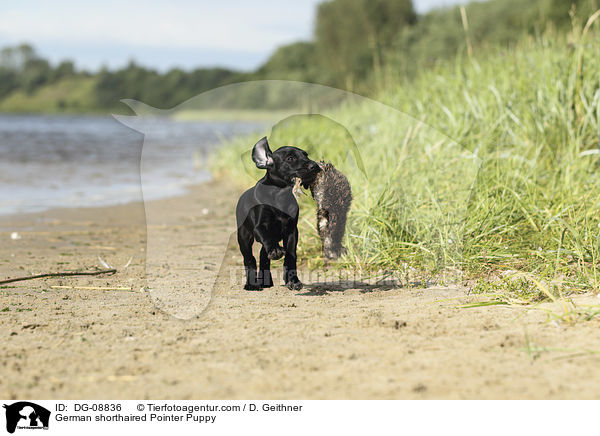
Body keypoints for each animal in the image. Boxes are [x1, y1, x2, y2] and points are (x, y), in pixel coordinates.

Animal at [234, 138, 322, 292]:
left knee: (263, 255)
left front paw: (293, 281)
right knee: (249, 259)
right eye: (290, 158)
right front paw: (275, 250)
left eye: (306, 155)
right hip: (244, 237)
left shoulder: (292, 231)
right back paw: (252, 284)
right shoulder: (260, 227)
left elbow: (291, 257)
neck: (279, 195)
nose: (315, 166)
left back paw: (266, 281)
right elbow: (267, 240)